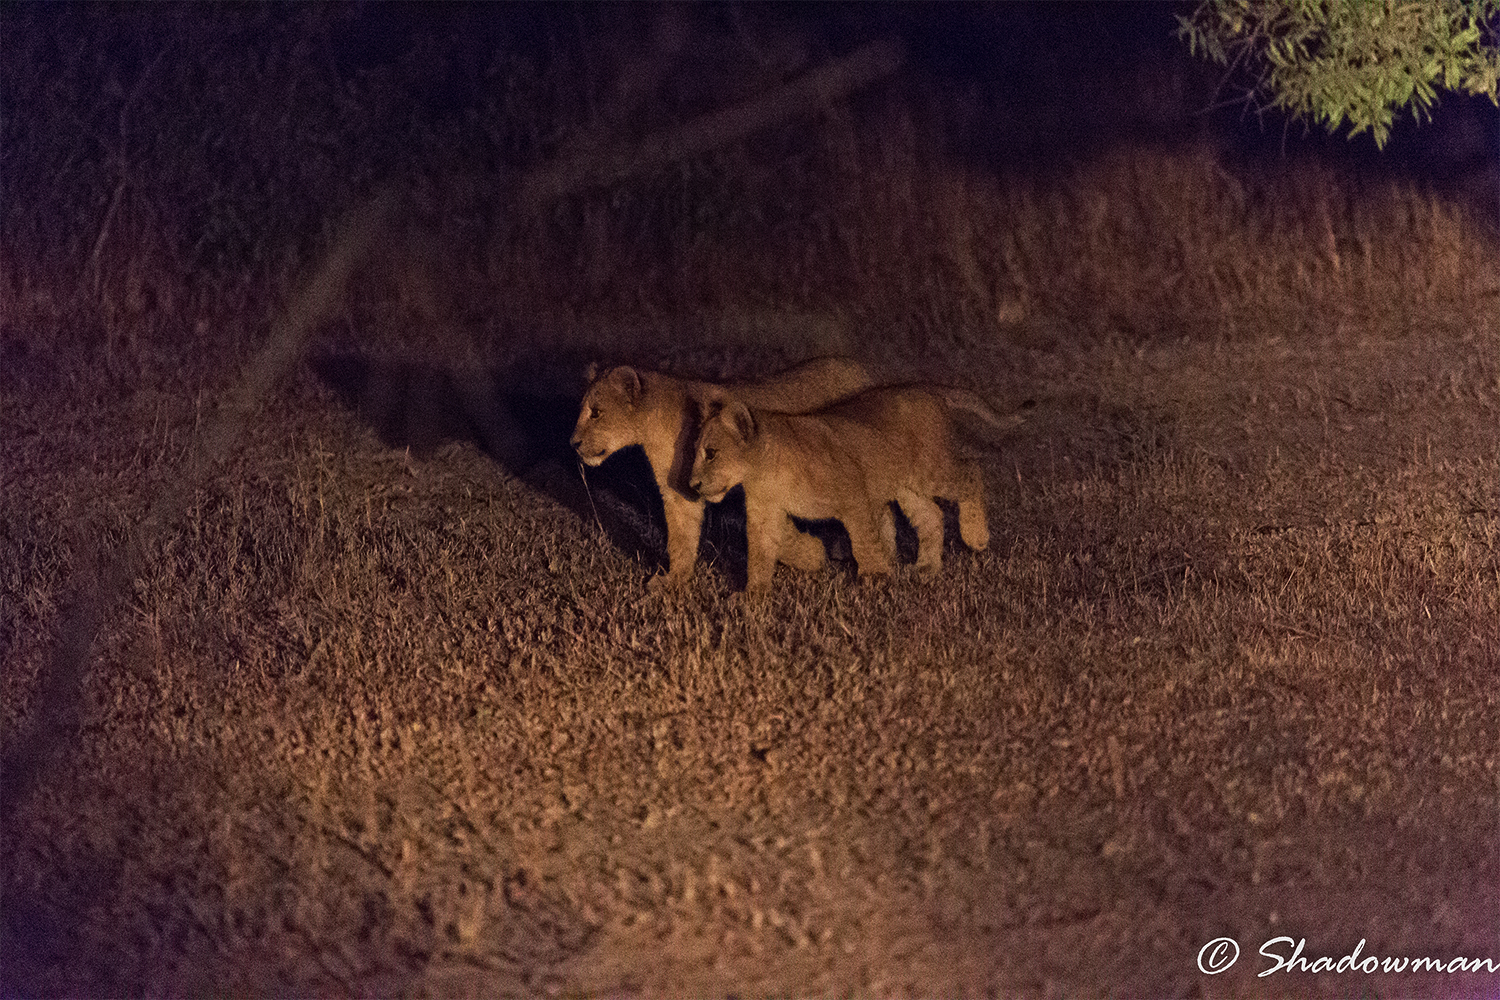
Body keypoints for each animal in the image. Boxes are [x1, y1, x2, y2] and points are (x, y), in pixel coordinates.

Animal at [570, 356, 875, 588]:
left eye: (596, 412)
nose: (572, 443)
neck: (652, 428)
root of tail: (864, 370)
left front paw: (811, 556)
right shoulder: (680, 491)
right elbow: (680, 537)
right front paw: (674, 581)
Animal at [688, 384, 1026, 595]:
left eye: (711, 453)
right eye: (697, 451)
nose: (692, 484)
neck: (764, 473)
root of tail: (925, 388)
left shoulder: (854, 494)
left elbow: (864, 539)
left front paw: (875, 577)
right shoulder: (764, 514)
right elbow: (760, 553)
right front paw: (754, 595)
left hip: (931, 470)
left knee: (972, 472)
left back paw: (975, 537)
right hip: (906, 485)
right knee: (931, 515)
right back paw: (927, 567)